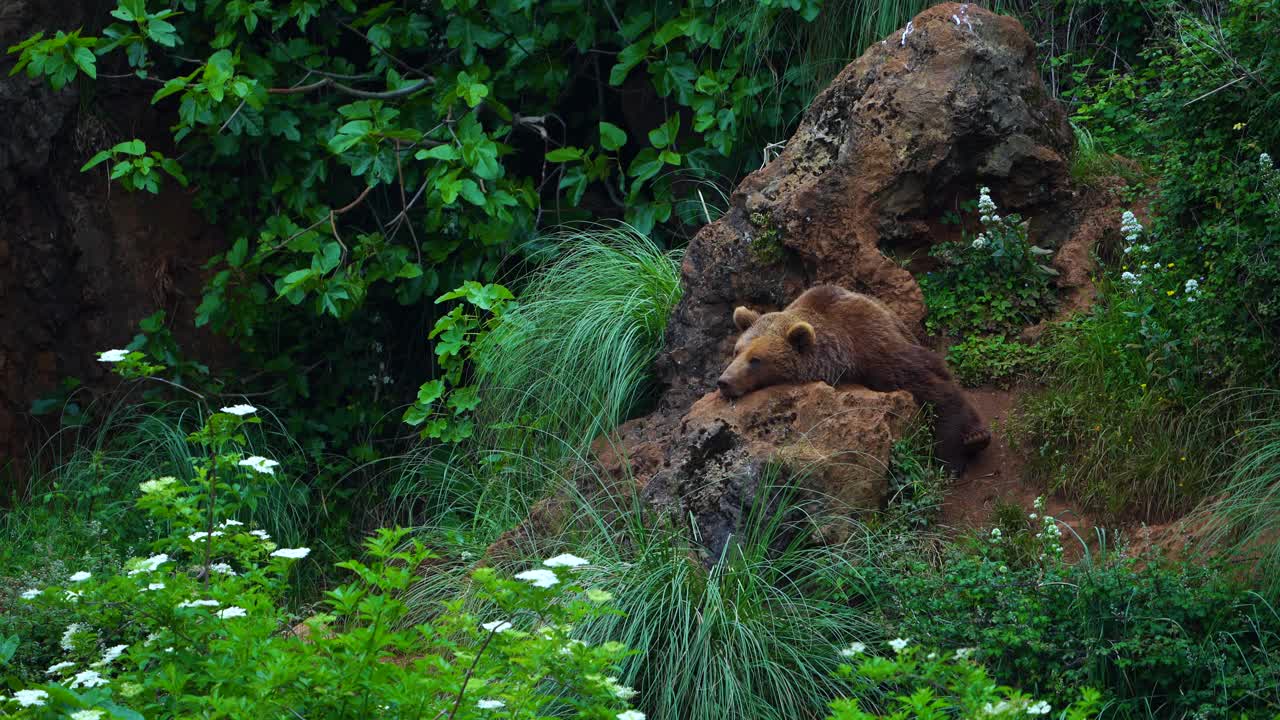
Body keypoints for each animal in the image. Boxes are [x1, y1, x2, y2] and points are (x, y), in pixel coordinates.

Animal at [716, 283, 993, 474]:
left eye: (756, 360)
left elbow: (932, 386)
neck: (842, 353)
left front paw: (951, 459)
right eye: (737, 351)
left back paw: (976, 438)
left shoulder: (874, 346)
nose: (724, 381)